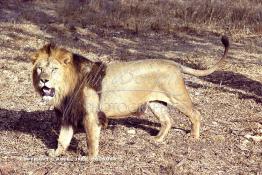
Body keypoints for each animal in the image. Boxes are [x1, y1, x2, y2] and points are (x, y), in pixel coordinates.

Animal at [30, 36, 229, 158]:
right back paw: (157, 139)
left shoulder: (91, 115)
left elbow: (91, 140)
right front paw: (56, 153)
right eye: (40, 69)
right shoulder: (68, 115)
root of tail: (174, 63)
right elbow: (63, 139)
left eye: (54, 69)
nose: (44, 80)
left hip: (178, 97)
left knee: (195, 114)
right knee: (168, 121)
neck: (65, 89)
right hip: (156, 102)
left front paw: (91, 158)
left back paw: (194, 136)